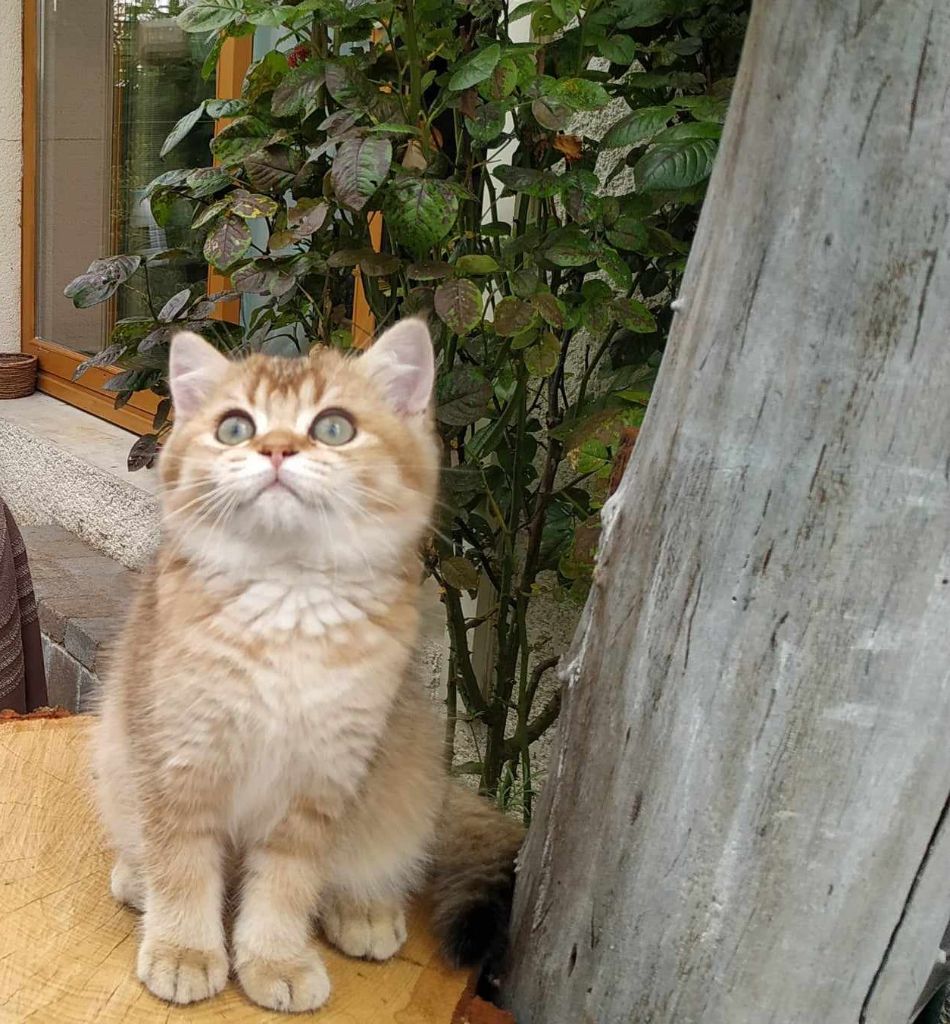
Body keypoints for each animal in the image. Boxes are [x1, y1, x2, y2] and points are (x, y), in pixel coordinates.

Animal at [91, 323, 520, 1011]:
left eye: (334, 428)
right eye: (235, 428)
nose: (276, 449)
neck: (286, 600)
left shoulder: (320, 784)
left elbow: (285, 889)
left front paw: (276, 961)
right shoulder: (178, 762)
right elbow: (181, 866)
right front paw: (185, 951)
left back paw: (364, 912)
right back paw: (136, 877)